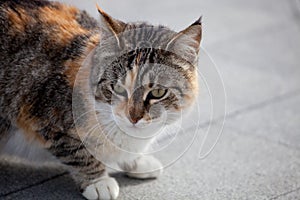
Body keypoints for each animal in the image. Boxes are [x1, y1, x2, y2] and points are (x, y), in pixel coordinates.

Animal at [0, 0, 203, 200]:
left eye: (158, 92)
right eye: (118, 88)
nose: (133, 117)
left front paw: (137, 161)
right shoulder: (40, 115)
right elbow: (76, 151)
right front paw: (98, 182)